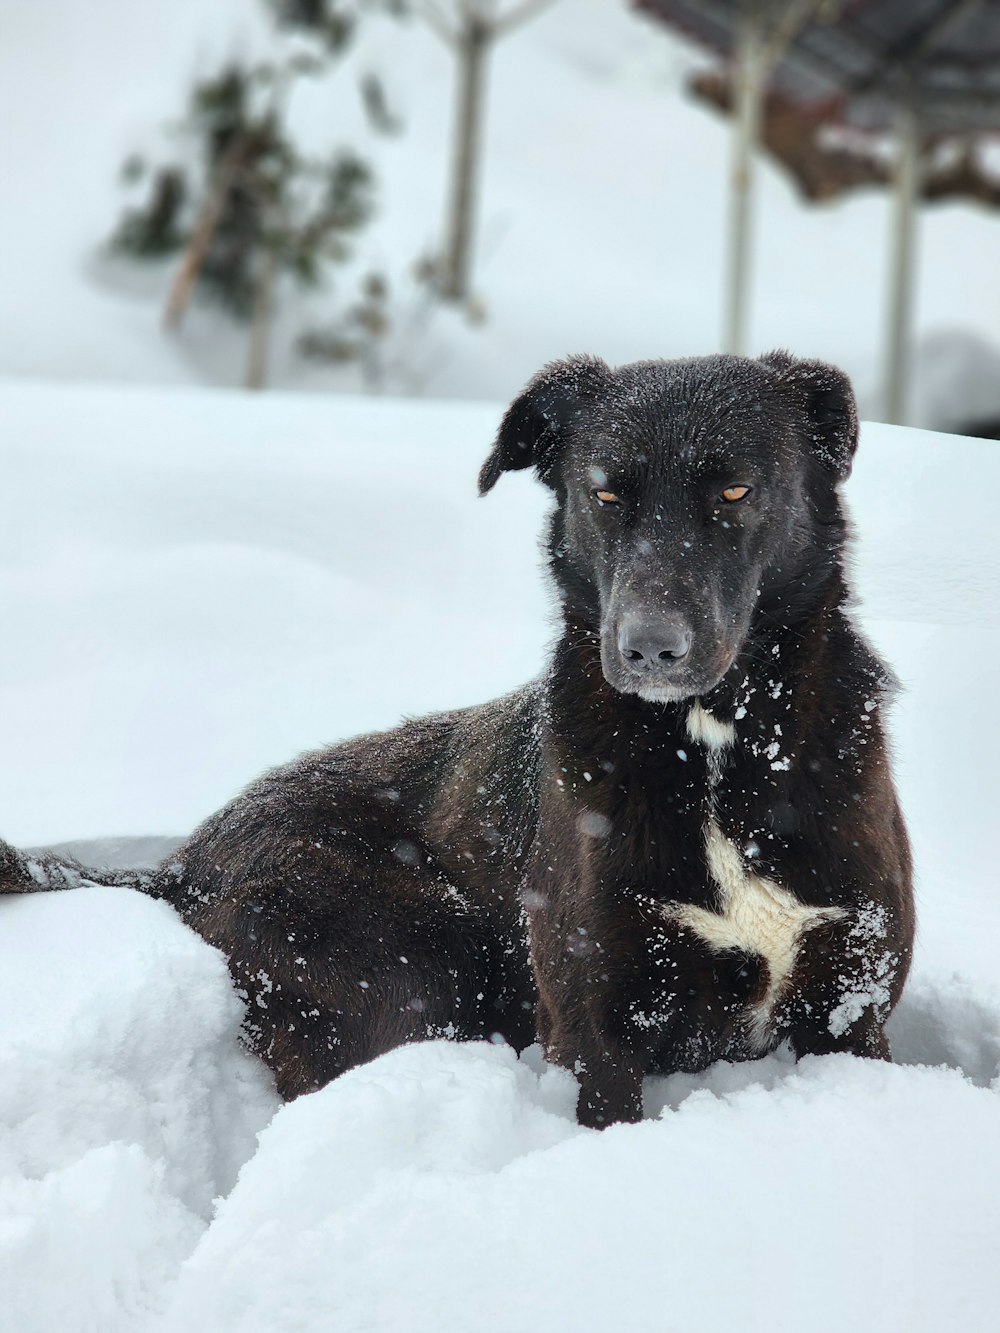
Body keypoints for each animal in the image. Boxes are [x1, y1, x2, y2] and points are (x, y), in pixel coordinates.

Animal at [0, 354, 917, 1125]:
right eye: (604, 494)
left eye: (734, 491)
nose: (649, 648)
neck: (717, 746)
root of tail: (180, 862)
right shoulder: (593, 1027)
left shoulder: (853, 1007)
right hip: (411, 961)